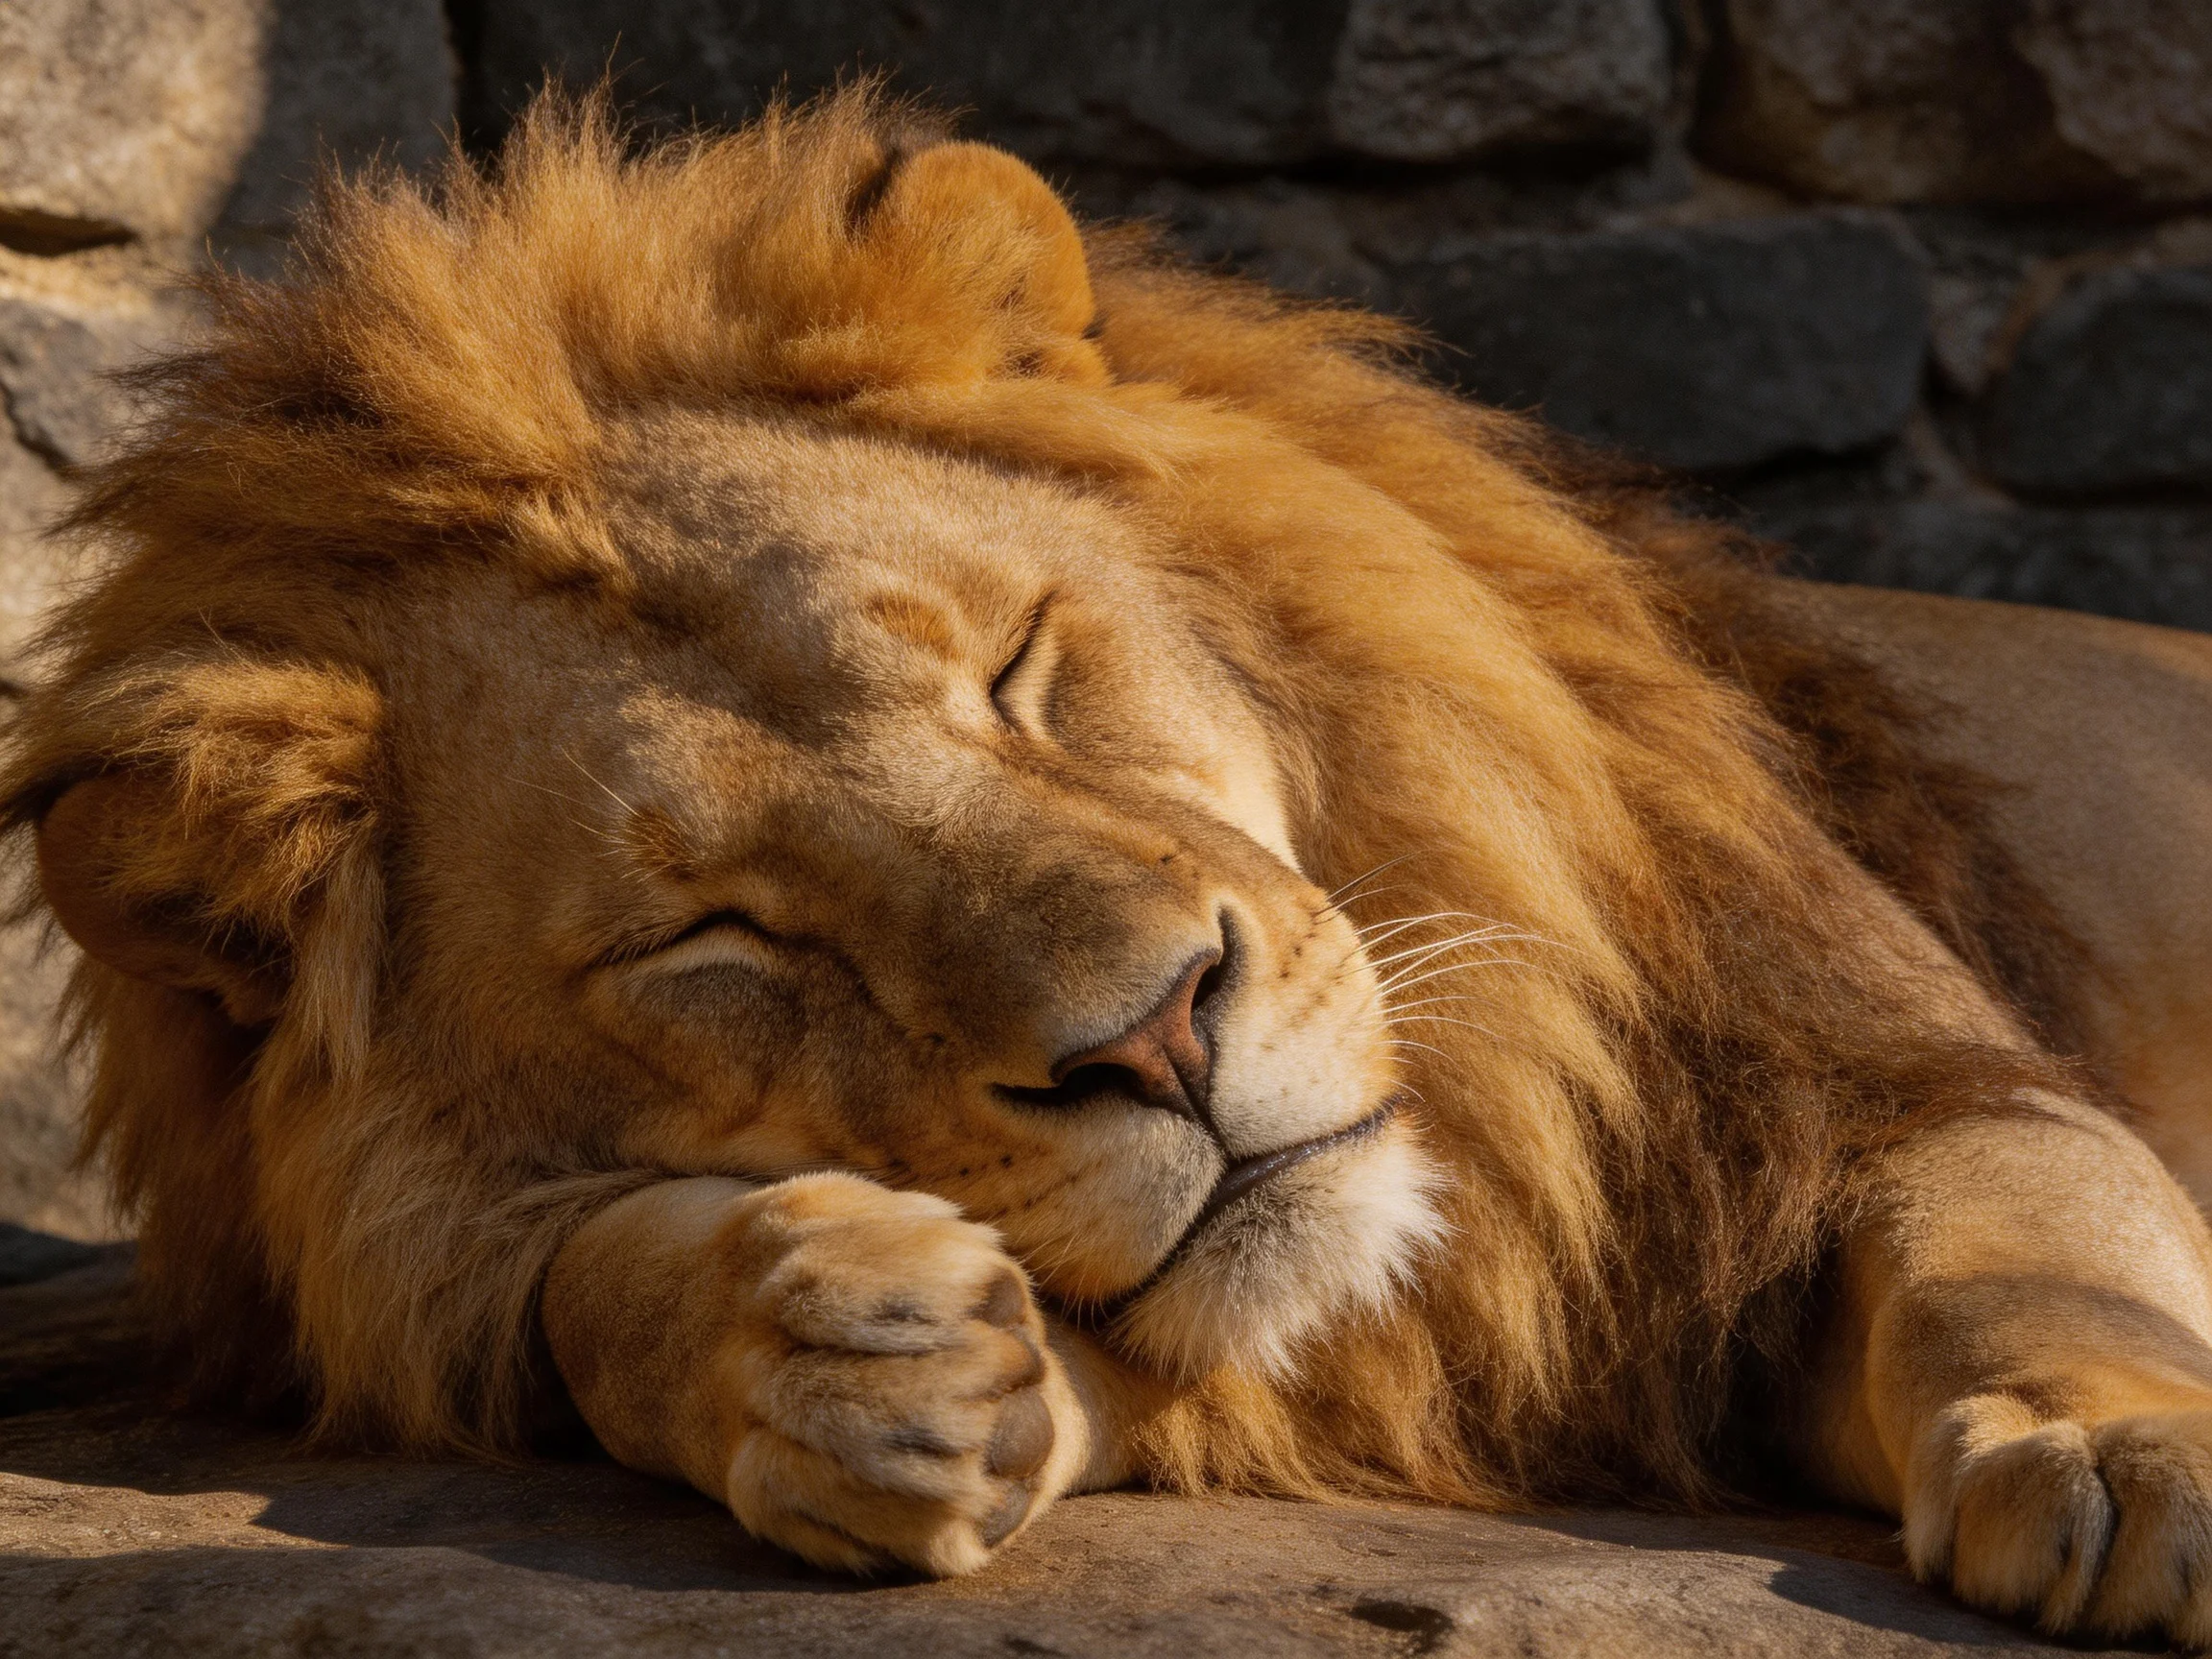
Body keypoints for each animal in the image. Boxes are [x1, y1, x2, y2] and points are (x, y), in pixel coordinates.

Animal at [9, 87, 2212, 1644]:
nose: (1155, 1039)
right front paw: (800, 1342)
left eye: (1015, 670)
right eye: (716, 934)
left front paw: (2130, 1443)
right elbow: (582, 1292)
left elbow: (2016, 1256)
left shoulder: (1878, 1084)